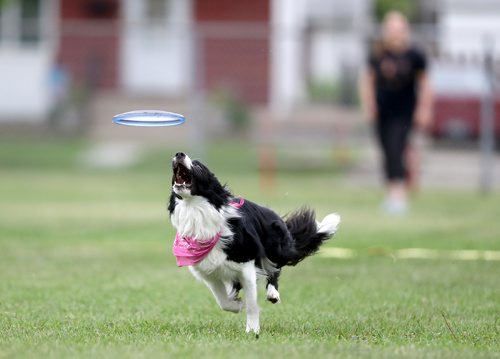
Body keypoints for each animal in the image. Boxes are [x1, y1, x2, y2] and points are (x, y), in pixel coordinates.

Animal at [168, 153, 340, 336]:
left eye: (198, 165)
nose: (179, 154)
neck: (196, 211)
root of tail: (272, 213)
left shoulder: (247, 265)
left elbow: (251, 304)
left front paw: (252, 330)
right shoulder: (208, 272)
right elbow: (223, 301)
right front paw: (237, 304)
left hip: (276, 248)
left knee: (275, 269)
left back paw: (273, 293)